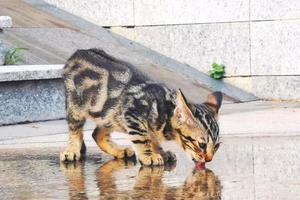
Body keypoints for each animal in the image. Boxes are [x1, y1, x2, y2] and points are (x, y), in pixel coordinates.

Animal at [59, 48, 223, 166]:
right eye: (202, 144)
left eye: (217, 146)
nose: (209, 159)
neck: (165, 111)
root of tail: (78, 52)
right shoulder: (132, 114)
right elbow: (143, 138)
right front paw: (148, 155)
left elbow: (153, 139)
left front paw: (161, 152)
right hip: (76, 106)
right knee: (75, 131)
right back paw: (71, 150)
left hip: (109, 114)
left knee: (96, 134)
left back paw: (119, 151)